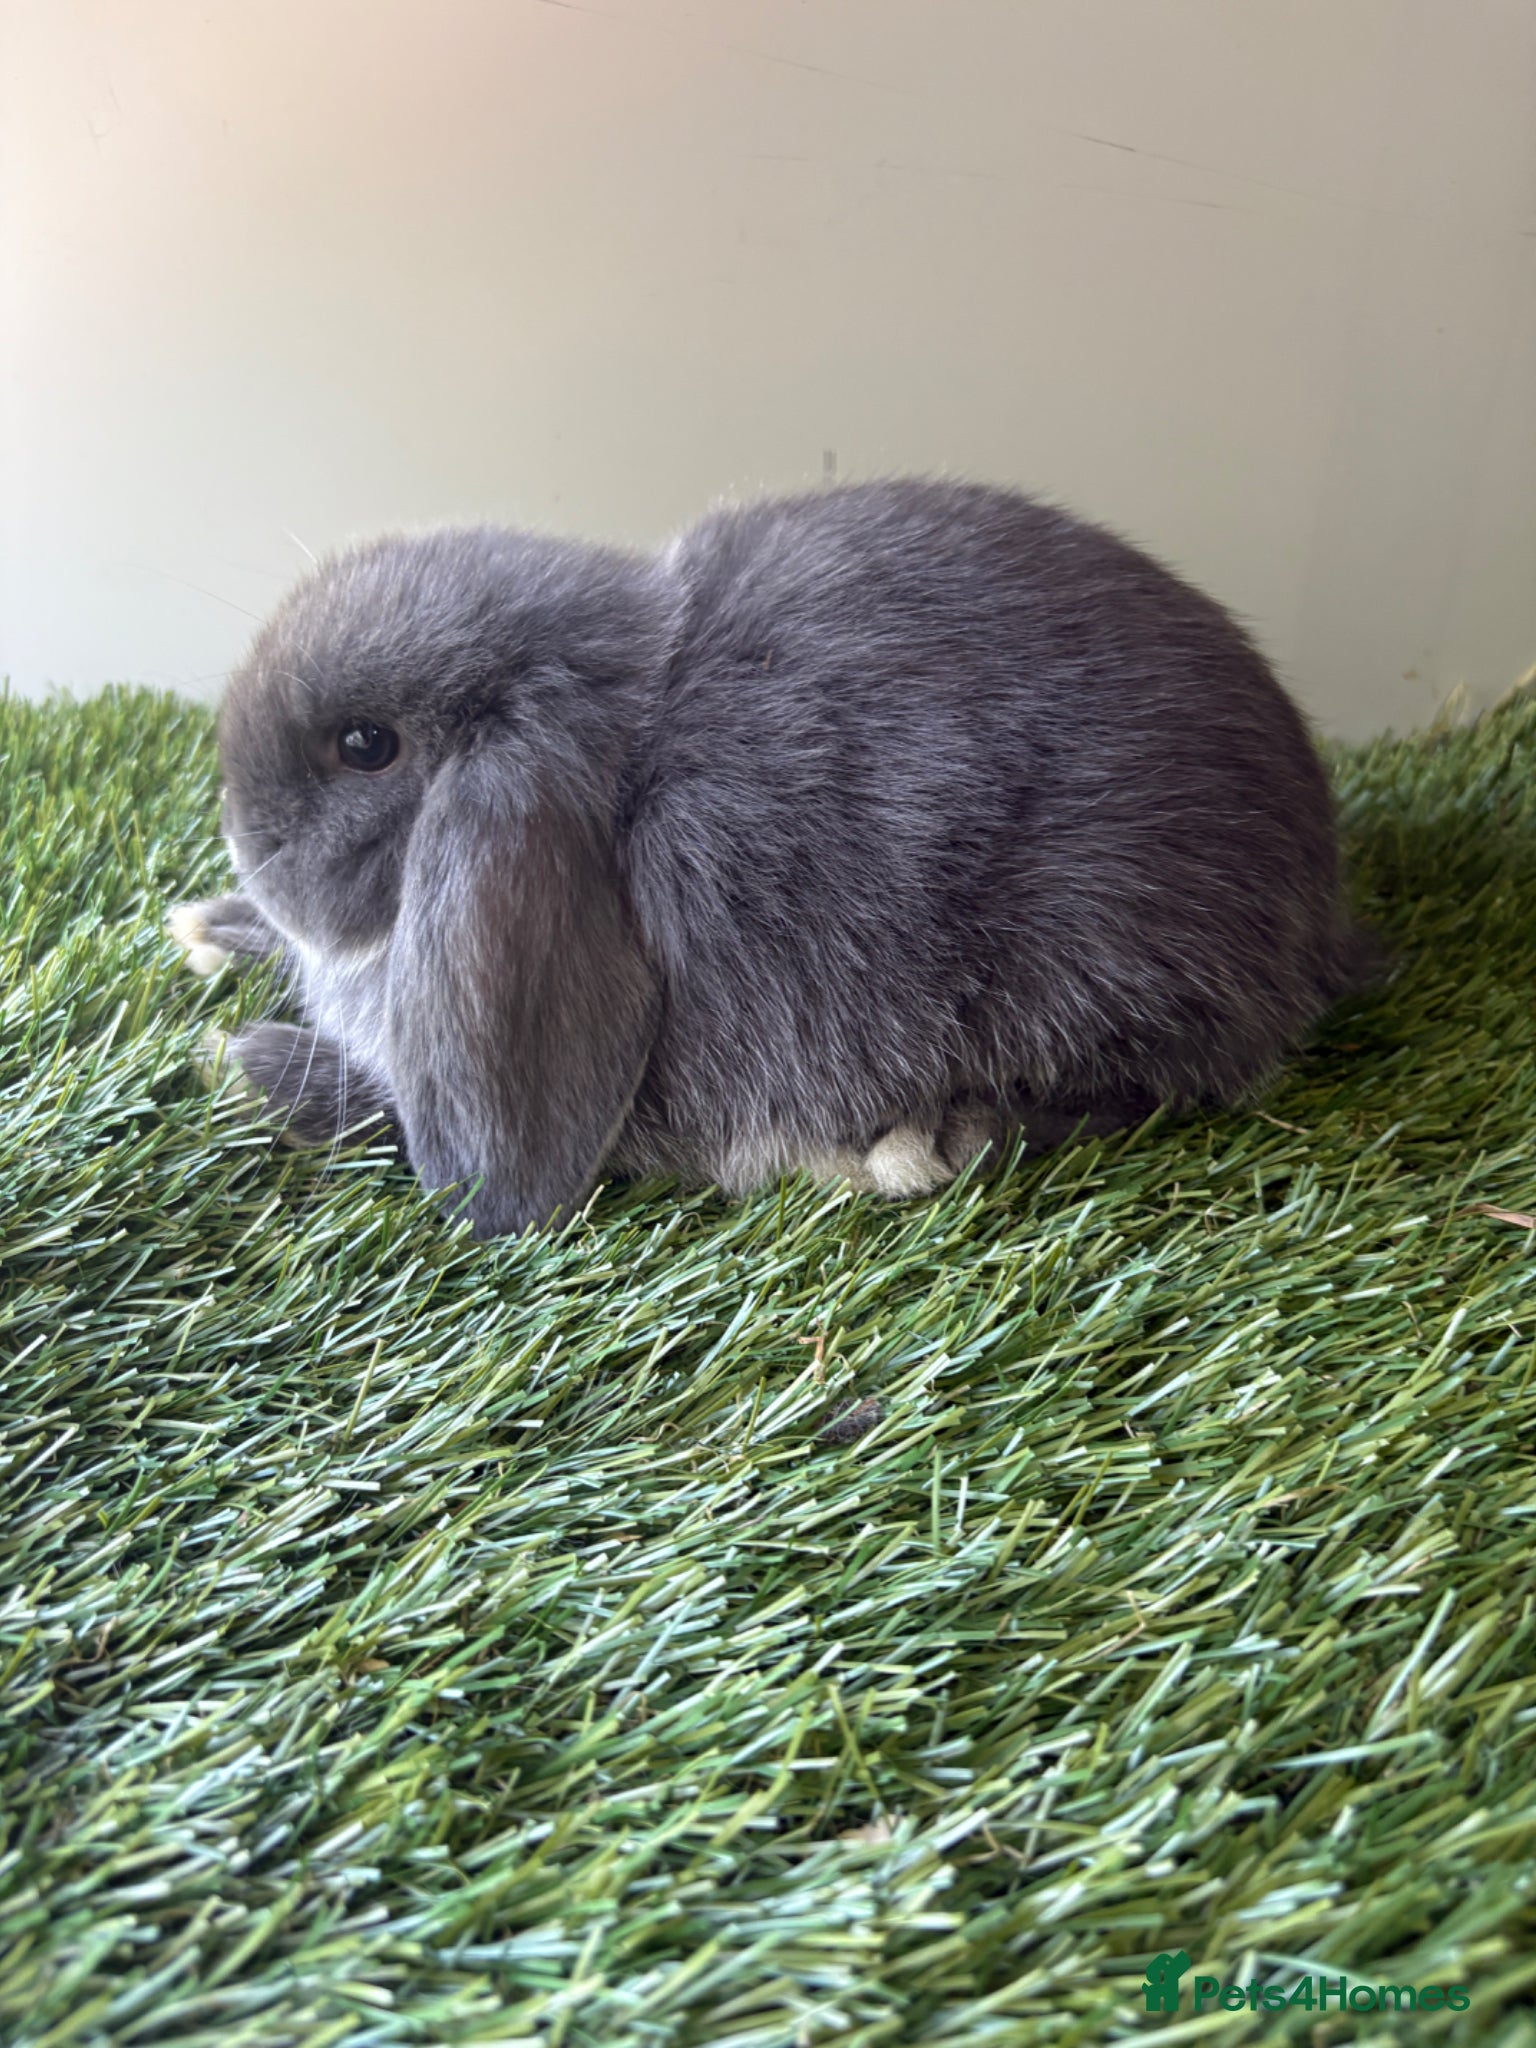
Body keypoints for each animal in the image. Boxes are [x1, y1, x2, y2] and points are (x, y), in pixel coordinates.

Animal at [170, 477, 1375, 1237]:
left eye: (364, 746)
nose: (242, 838)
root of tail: (1325, 906)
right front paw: (214, 927)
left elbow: (395, 1116)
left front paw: (245, 1063)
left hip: (1091, 961)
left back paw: (927, 1140)